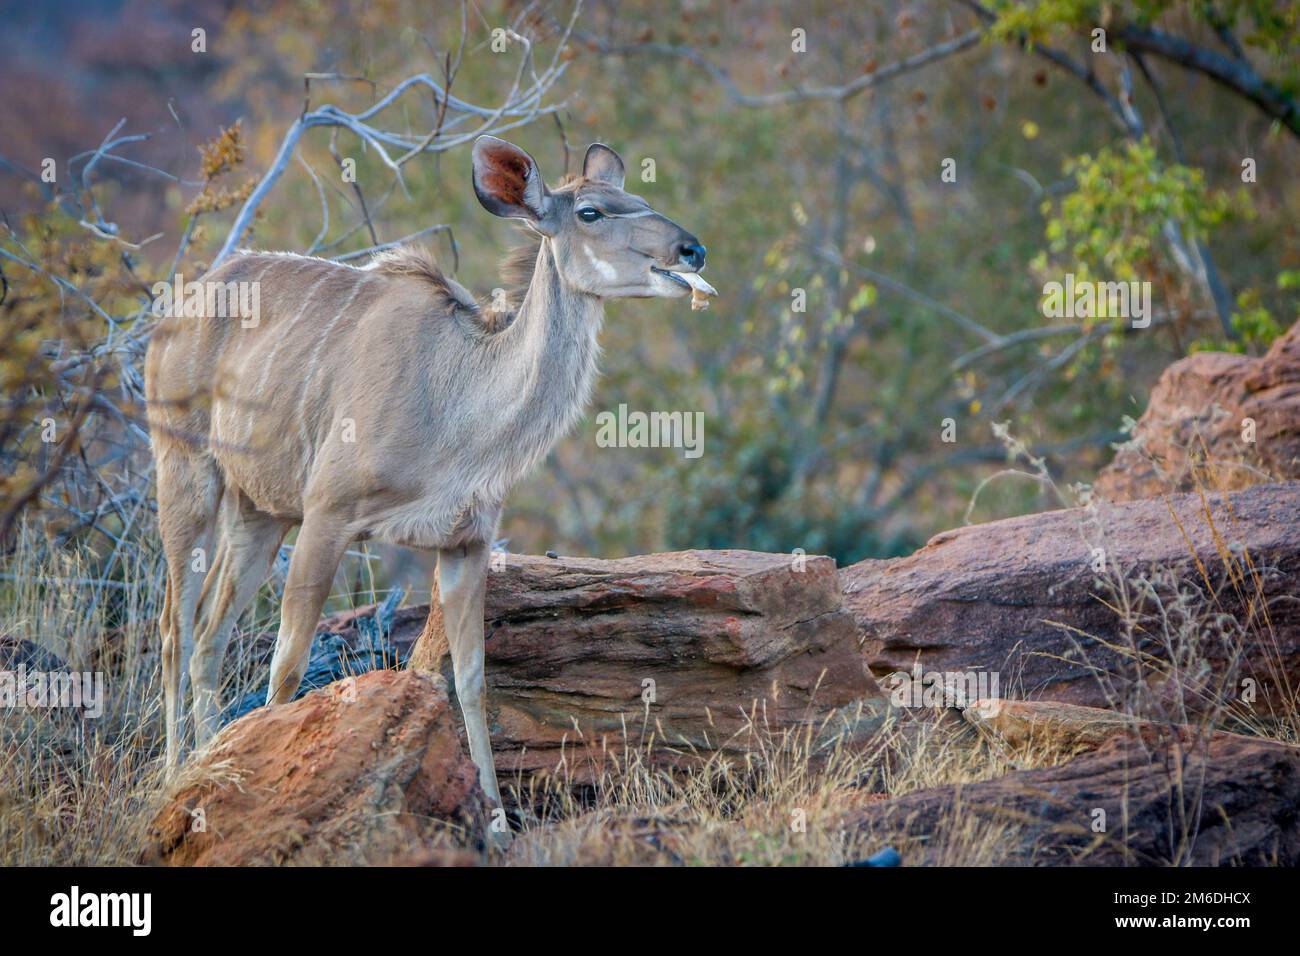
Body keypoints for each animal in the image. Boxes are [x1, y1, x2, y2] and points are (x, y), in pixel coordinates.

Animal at [147, 132, 717, 806]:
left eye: (642, 200)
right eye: (591, 212)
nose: (692, 248)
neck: (456, 406)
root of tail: (178, 305)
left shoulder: (466, 543)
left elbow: (469, 679)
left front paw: (494, 816)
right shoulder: (328, 516)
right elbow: (286, 670)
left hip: (259, 509)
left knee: (210, 631)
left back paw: (202, 764)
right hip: (184, 468)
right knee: (175, 627)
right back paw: (171, 778)